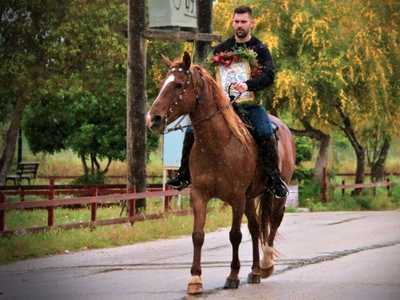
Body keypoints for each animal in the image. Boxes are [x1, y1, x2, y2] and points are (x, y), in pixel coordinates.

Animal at [145, 51, 296, 292]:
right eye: (161, 84)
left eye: (178, 85)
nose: (153, 119)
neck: (217, 144)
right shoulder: (200, 195)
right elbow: (198, 235)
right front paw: (195, 279)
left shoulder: (236, 197)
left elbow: (235, 235)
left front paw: (233, 275)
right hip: (250, 198)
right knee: (255, 228)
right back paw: (254, 271)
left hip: (276, 193)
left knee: (274, 221)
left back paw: (266, 264)